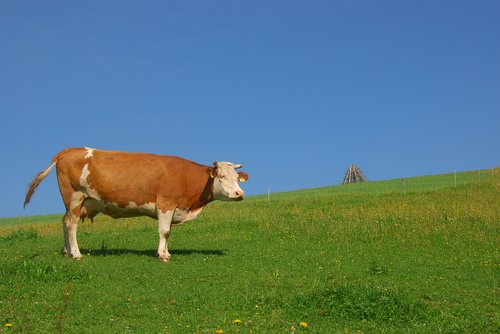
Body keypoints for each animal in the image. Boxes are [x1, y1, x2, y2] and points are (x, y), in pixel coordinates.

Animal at [24, 148, 249, 260]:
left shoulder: (173, 208)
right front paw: (163, 255)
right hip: (74, 197)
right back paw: (76, 254)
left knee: (64, 222)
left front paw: (165, 251)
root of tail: (69, 150)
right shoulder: (166, 204)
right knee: (71, 225)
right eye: (221, 176)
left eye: (237, 178)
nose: (240, 193)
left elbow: (167, 233)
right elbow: (164, 231)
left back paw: (66, 251)